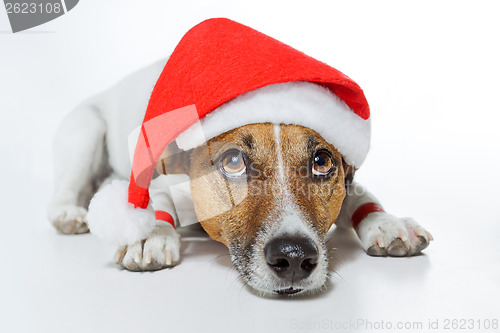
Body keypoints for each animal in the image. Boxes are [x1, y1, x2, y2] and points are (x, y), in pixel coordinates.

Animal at [47, 18, 432, 294]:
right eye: (233, 162)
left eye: (322, 162)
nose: (293, 257)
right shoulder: (164, 177)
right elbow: (156, 201)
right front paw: (150, 233)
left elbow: (359, 193)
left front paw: (386, 221)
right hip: (86, 130)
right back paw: (69, 214)